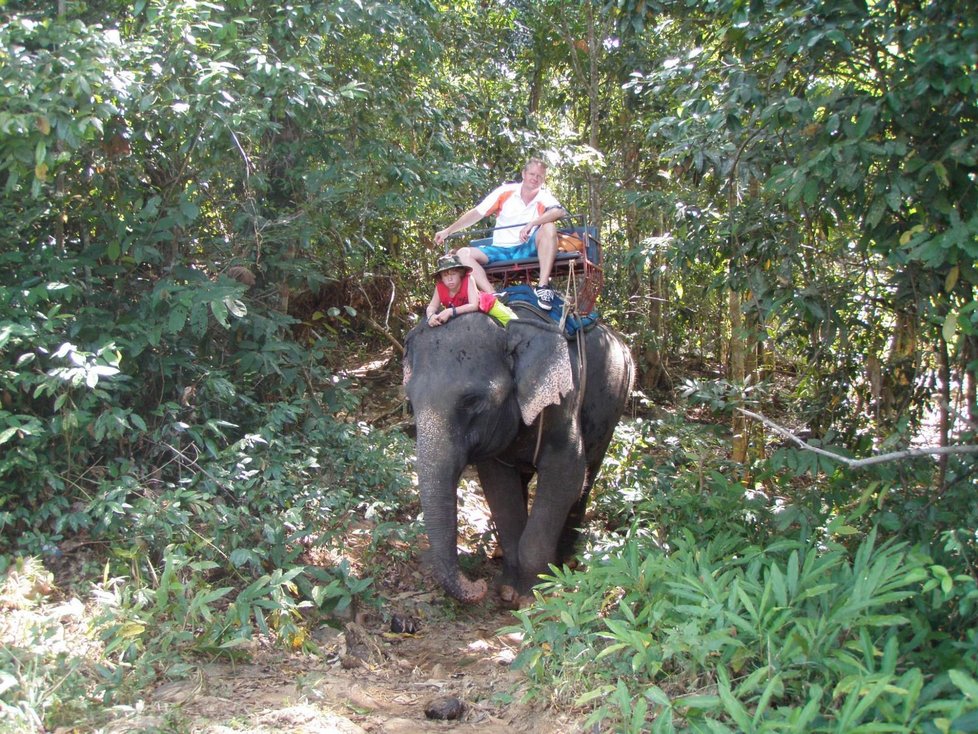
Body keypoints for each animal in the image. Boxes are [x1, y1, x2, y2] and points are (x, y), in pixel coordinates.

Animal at [398, 304, 632, 604]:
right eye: (411, 402)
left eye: (473, 401)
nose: (478, 585)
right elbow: (498, 486)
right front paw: (508, 589)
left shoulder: (563, 402)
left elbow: (567, 478)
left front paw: (534, 594)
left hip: (615, 403)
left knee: (589, 474)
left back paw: (567, 560)